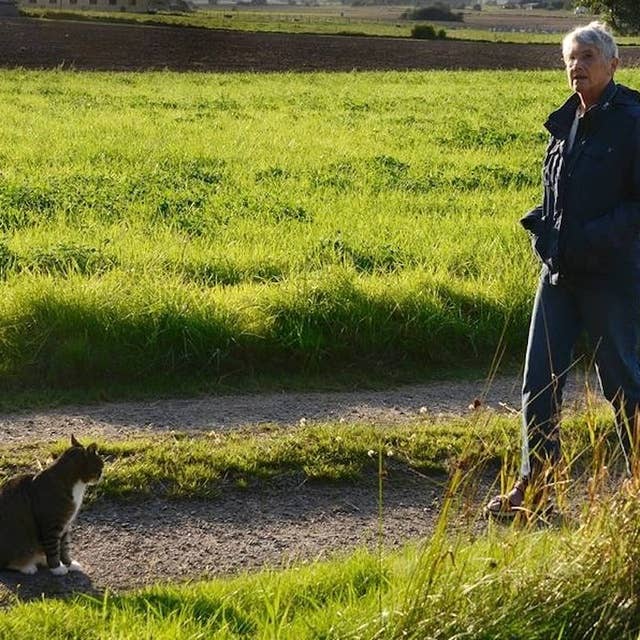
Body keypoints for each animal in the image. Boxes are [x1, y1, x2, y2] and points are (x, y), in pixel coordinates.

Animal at [0, 436, 102, 576]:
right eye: (100, 465)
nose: (102, 474)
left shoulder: (66, 524)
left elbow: (65, 547)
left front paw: (69, 564)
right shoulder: (51, 524)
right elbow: (53, 548)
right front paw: (56, 567)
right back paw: (27, 566)